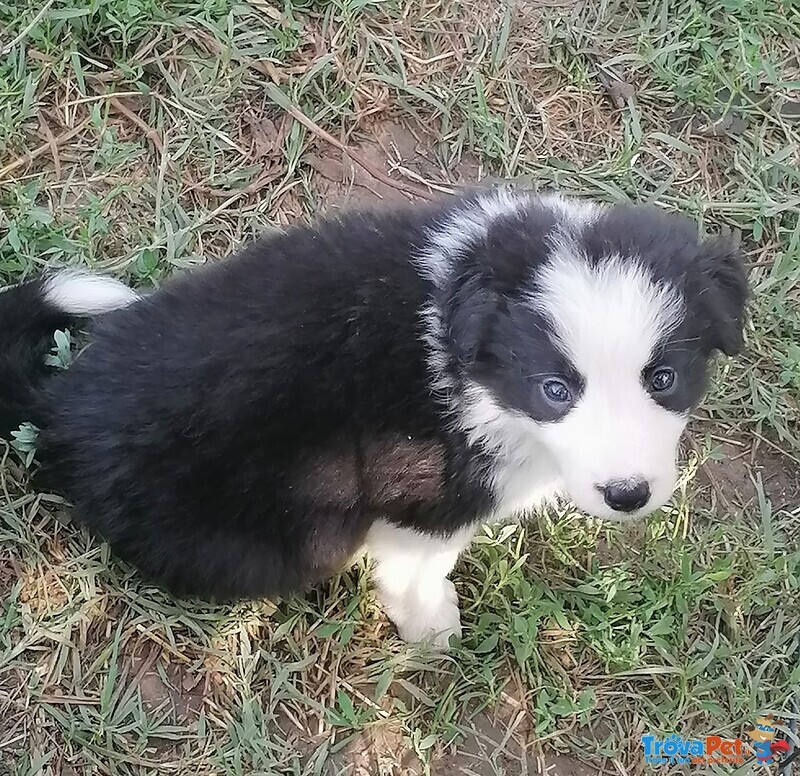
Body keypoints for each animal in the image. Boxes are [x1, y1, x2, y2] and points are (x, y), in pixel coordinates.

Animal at [3, 189, 748, 648]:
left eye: (664, 379)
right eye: (555, 390)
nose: (628, 495)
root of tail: (65, 403)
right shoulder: (419, 490)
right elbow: (420, 563)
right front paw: (432, 626)